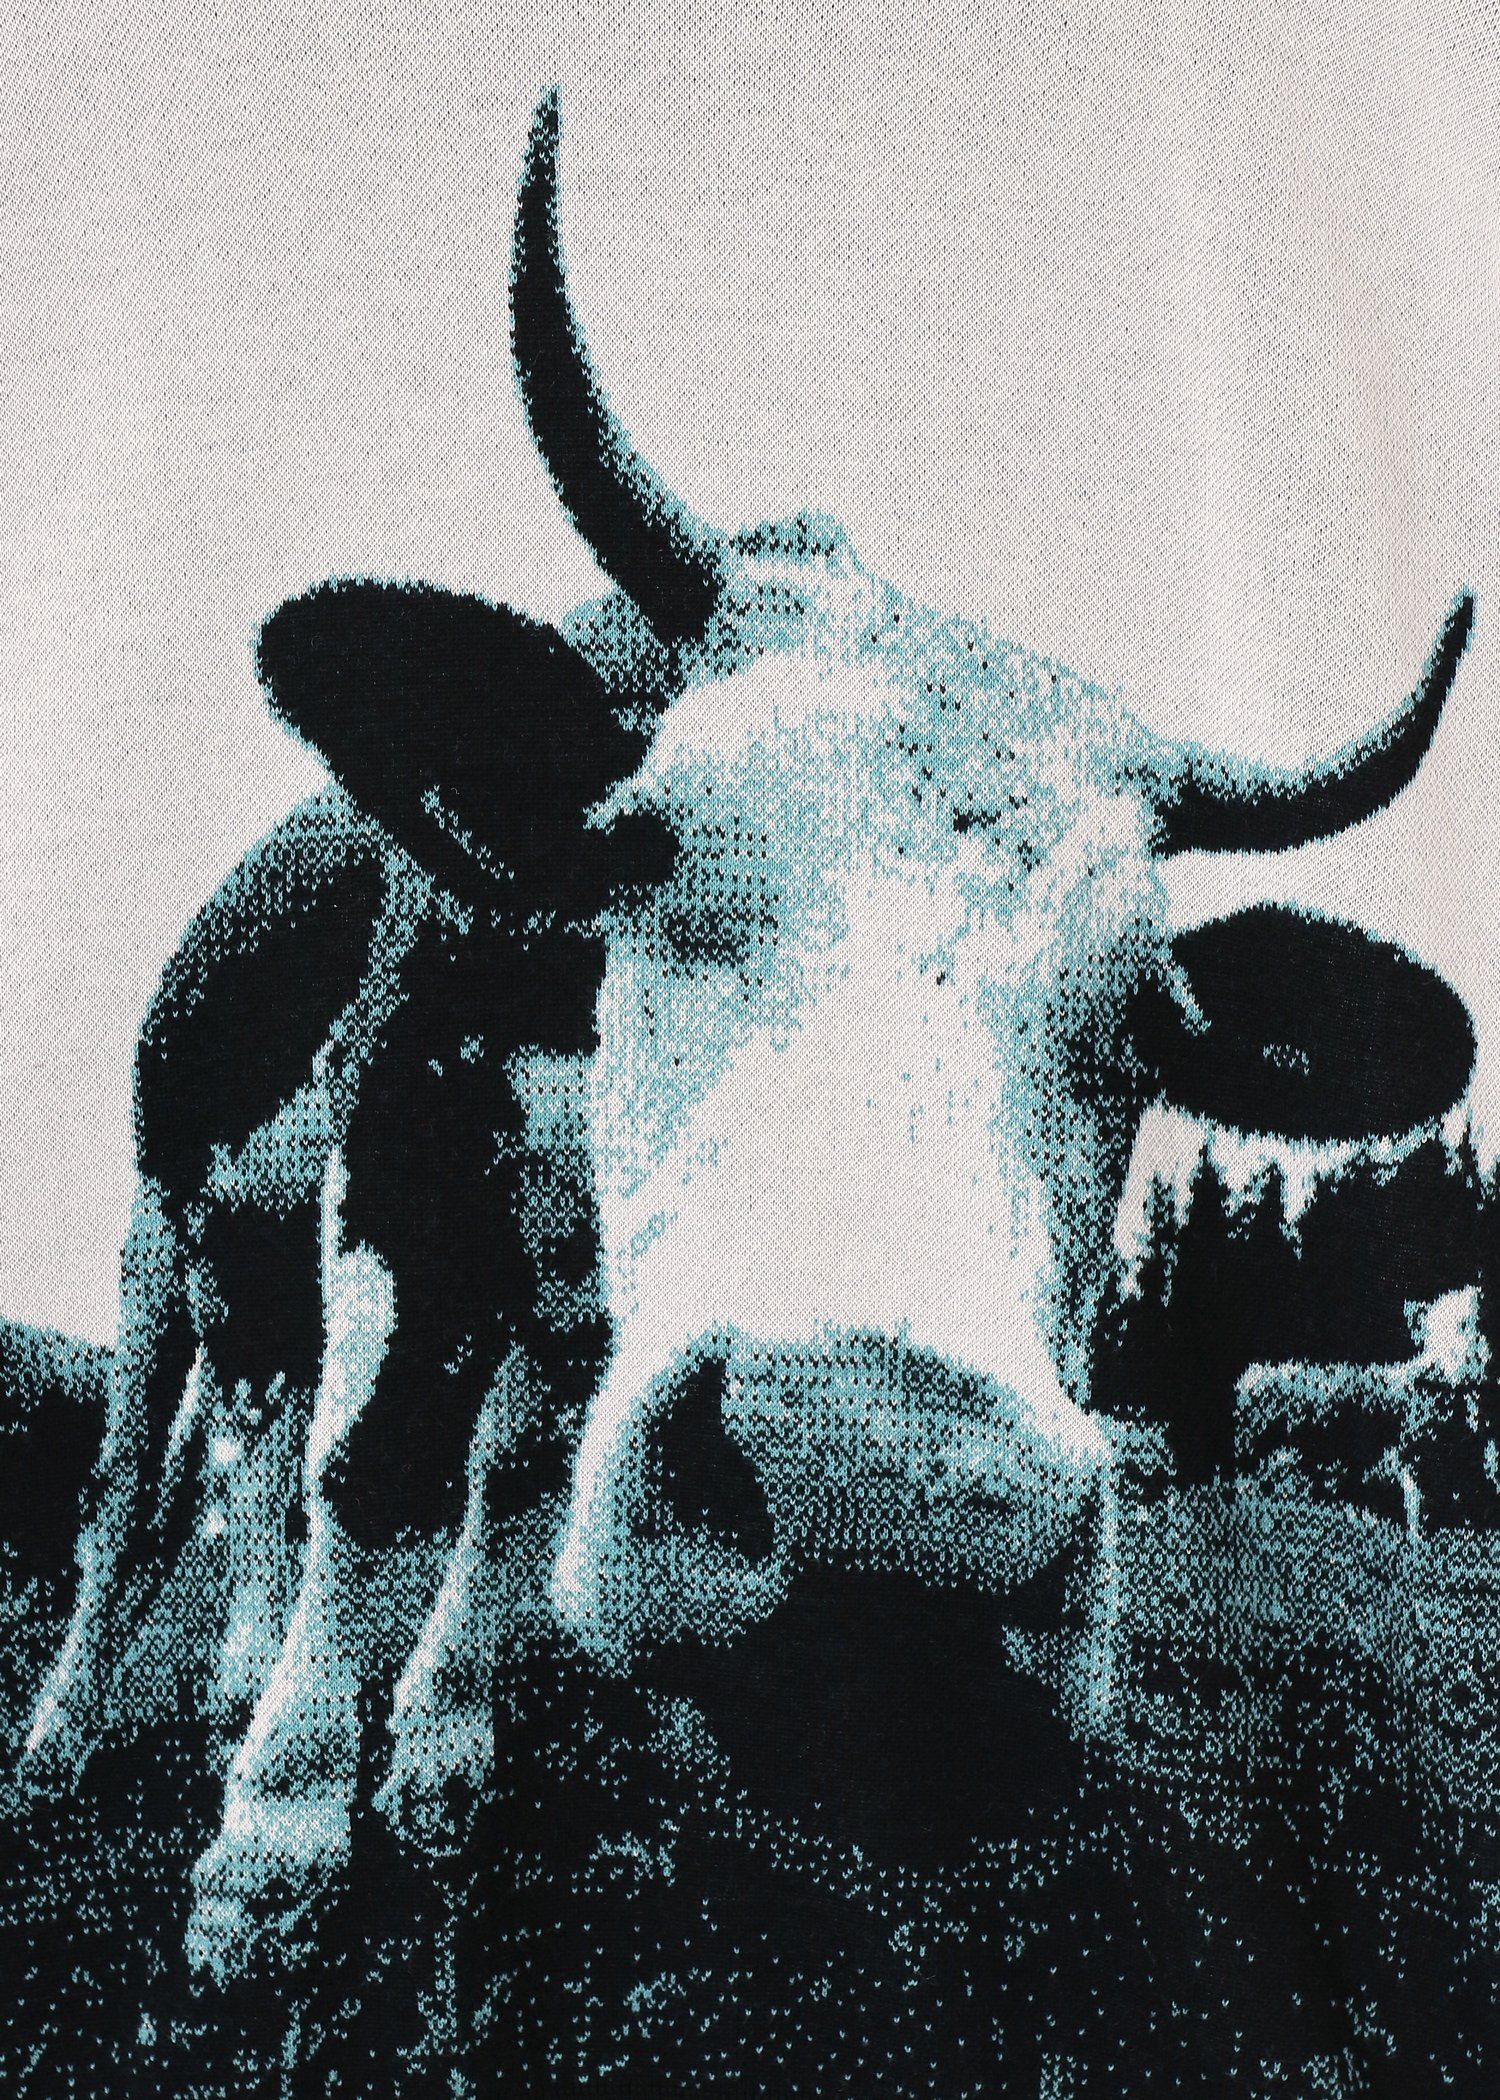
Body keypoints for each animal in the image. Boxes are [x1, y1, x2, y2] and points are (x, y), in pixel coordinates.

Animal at [15, 86, 1478, 2010]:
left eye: (1154, 1025)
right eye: (642, 848)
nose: (887, 1508)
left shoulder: (572, 1308)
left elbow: (502, 1488)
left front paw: (439, 1752)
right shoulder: (411, 1136)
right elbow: (380, 1472)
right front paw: (274, 1853)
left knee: (262, 1457)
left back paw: (237, 1675)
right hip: (158, 1227)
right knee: (146, 1490)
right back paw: (78, 1728)